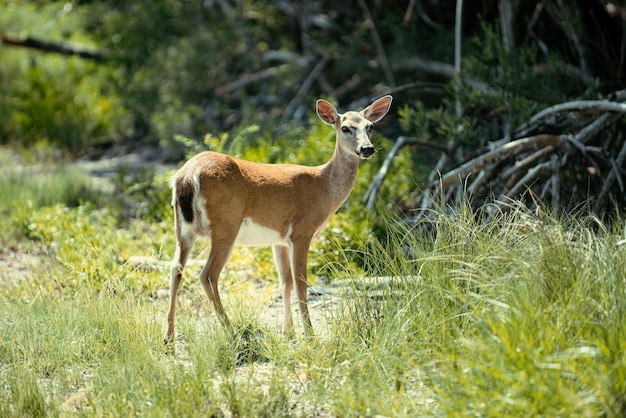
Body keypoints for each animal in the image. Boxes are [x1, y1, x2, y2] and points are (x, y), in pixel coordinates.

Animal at [166, 94, 390, 342]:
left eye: (370, 127)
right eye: (345, 128)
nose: (367, 149)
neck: (324, 187)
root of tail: (187, 176)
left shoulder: (279, 239)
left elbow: (285, 282)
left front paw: (289, 331)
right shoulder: (302, 231)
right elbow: (301, 282)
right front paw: (309, 335)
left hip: (183, 228)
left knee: (176, 268)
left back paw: (169, 338)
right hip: (226, 225)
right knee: (207, 274)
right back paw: (232, 332)